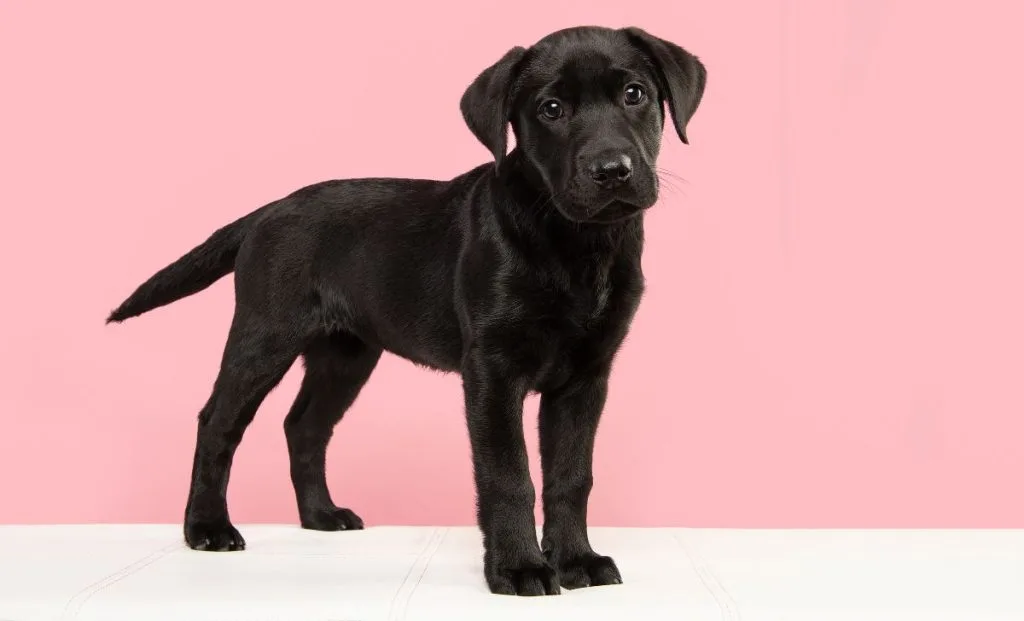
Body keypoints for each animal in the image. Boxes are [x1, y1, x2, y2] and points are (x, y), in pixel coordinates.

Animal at [108, 25, 708, 598]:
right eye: (551, 109)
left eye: (634, 94)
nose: (611, 170)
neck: (575, 243)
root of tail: (268, 209)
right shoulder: (493, 371)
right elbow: (508, 474)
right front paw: (518, 569)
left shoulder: (585, 377)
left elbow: (571, 476)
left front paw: (577, 560)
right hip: (264, 336)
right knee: (218, 423)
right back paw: (207, 528)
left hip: (346, 355)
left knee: (304, 426)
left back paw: (321, 516)